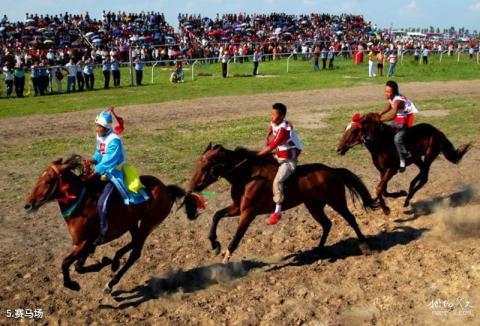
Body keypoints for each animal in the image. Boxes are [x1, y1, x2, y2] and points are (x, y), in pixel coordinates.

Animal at [23, 155, 197, 292]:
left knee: (136, 252)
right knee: (134, 241)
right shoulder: (85, 245)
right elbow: (78, 267)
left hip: (148, 224)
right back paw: (115, 260)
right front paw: (104, 262)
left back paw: (111, 282)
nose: (28, 205)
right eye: (39, 178)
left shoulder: (86, 242)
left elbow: (65, 263)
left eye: (49, 180)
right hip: (132, 223)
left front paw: (72, 284)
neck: (81, 204)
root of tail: (166, 189)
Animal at [188, 144, 378, 264]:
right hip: (314, 205)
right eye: (197, 164)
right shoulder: (237, 208)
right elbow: (216, 215)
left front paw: (226, 257)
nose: (191, 187)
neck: (248, 176)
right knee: (326, 224)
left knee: (350, 219)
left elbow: (237, 236)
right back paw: (318, 249)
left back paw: (365, 245)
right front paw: (214, 244)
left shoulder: (248, 212)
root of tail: (333, 170)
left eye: (205, 167)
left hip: (336, 201)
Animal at [336, 113, 470, 215]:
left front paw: (386, 209)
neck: (382, 144)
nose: (338, 148)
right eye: (346, 129)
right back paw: (409, 191)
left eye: (354, 130)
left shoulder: (391, 169)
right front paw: (400, 193)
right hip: (417, 158)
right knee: (422, 173)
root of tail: (437, 131)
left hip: (429, 155)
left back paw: (408, 197)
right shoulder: (382, 171)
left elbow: (379, 189)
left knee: (424, 177)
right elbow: (383, 190)